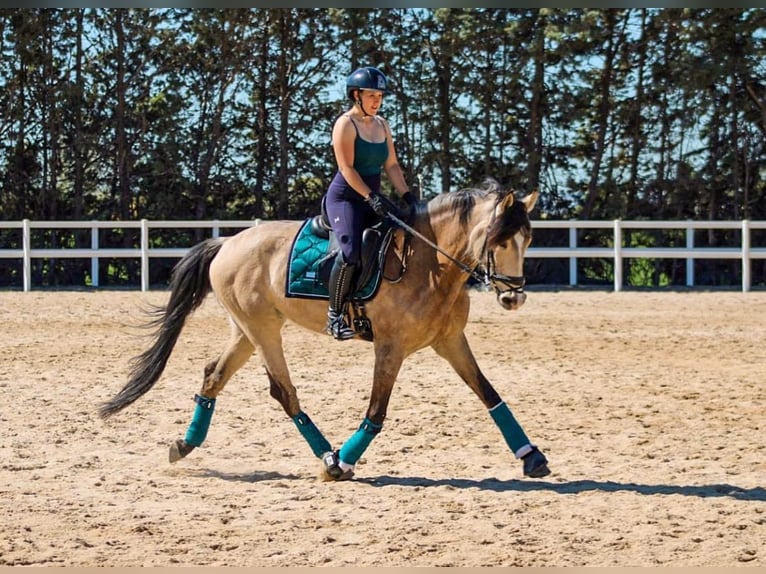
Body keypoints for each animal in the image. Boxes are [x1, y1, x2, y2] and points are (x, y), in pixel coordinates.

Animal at [99, 179, 552, 482]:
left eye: (527, 239)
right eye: (499, 240)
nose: (514, 298)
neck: (430, 263)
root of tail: (228, 242)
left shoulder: (450, 341)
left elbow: (490, 394)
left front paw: (532, 456)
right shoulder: (390, 347)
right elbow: (377, 411)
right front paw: (346, 460)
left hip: (246, 330)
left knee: (214, 376)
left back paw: (185, 444)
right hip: (263, 330)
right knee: (283, 392)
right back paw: (329, 459)